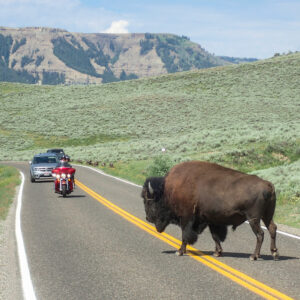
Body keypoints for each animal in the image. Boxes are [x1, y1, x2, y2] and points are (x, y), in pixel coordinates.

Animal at [142, 161, 280, 262]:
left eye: (149, 201)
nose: (147, 218)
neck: (169, 190)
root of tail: (269, 185)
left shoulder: (186, 218)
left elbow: (185, 236)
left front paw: (179, 251)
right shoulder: (211, 220)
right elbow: (215, 236)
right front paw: (217, 253)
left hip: (253, 219)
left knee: (260, 234)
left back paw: (254, 256)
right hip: (267, 216)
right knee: (272, 228)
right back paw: (274, 254)